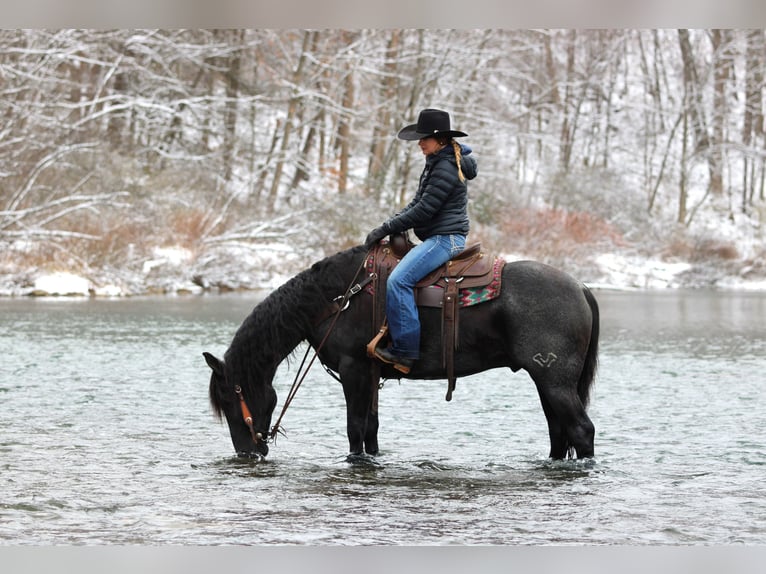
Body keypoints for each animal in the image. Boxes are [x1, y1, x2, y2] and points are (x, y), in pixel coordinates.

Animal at [203, 243, 599, 461]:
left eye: (231, 397)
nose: (247, 452)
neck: (337, 299)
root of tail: (580, 287)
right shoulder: (371, 374)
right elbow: (372, 428)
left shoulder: (354, 370)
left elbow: (355, 428)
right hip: (548, 382)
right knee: (558, 432)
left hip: (555, 380)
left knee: (581, 430)